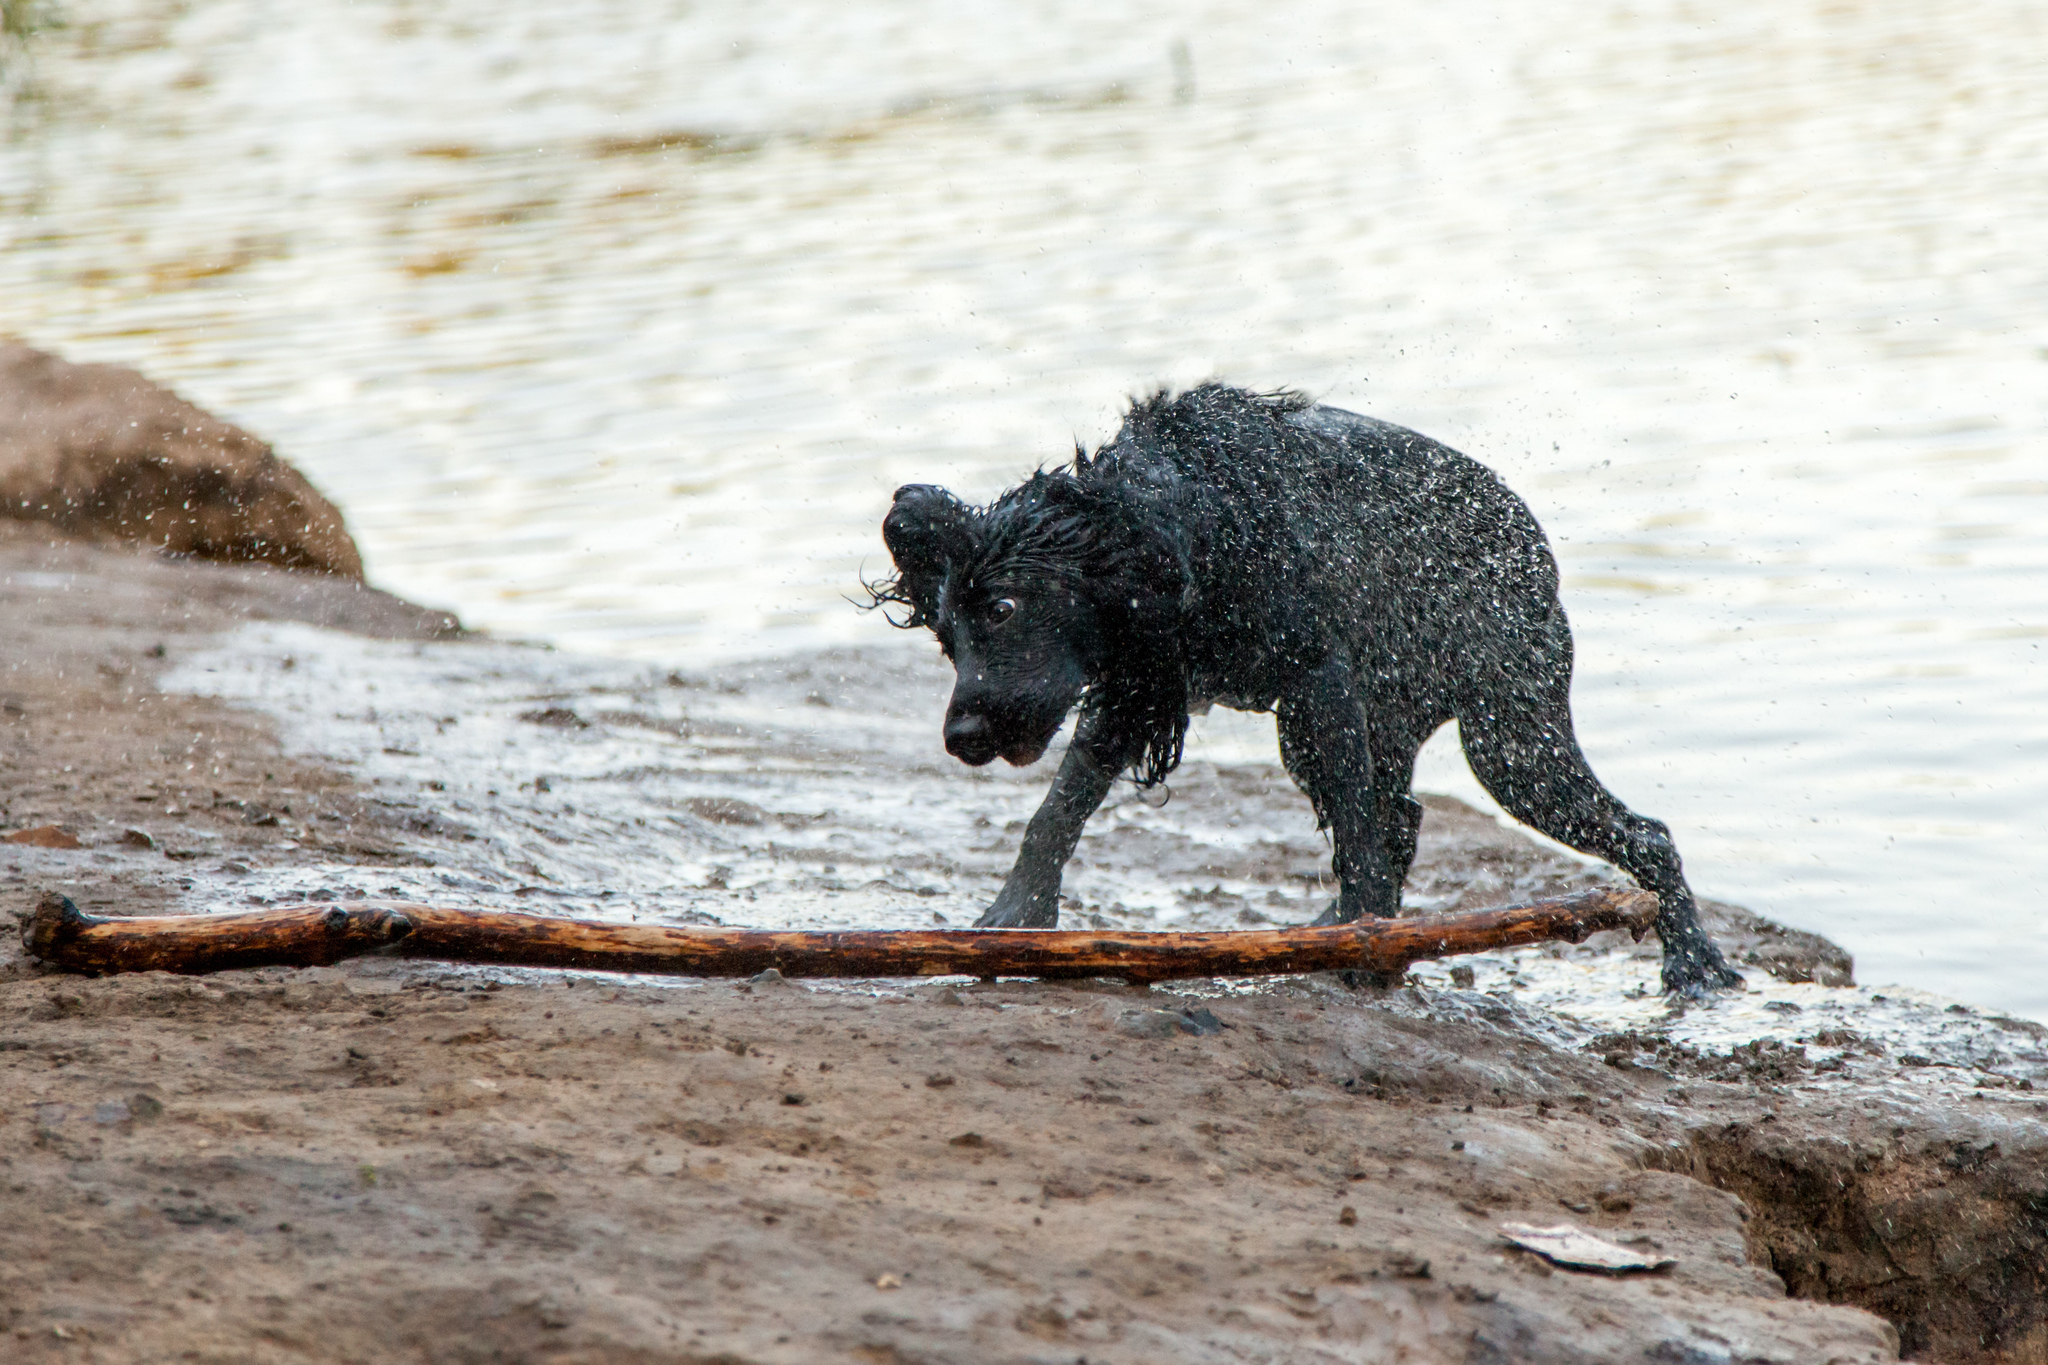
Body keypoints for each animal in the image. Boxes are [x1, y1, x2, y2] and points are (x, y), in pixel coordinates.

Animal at [880, 384, 1744, 994]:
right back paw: (1341, 923)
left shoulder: (1316, 679)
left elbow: (1356, 831)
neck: (1196, 522)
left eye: (1003, 608)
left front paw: (1369, 953)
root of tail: (1534, 549)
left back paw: (1694, 961)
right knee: (1403, 816)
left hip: (1509, 741)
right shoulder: (1135, 686)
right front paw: (1017, 915)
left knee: (1644, 833)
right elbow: (1058, 808)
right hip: (1357, 729)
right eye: (946, 637)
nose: (962, 739)